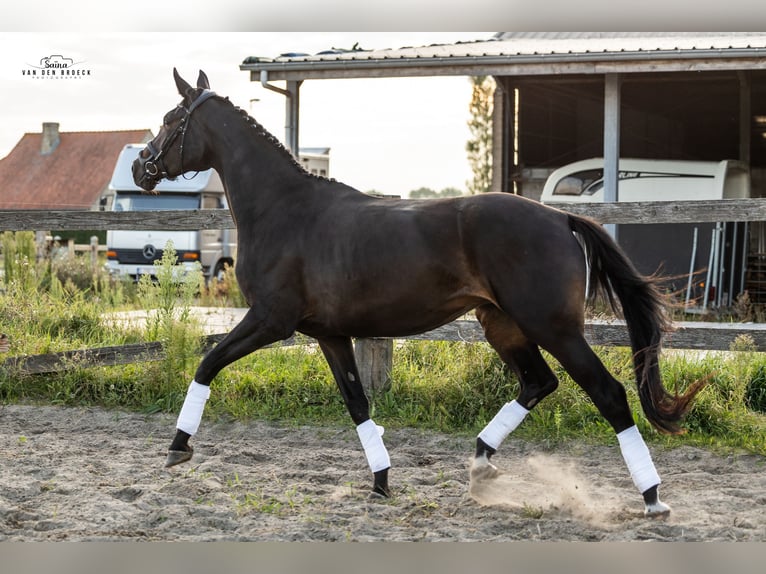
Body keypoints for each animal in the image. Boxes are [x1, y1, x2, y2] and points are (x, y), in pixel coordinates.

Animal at [134, 71, 708, 516]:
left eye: (168, 119)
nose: (142, 167)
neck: (285, 210)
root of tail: (561, 217)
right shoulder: (330, 335)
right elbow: (357, 403)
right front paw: (381, 482)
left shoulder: (270, 320)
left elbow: (207, 363)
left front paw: (177, 449)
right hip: (503, 325)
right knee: (538, 384)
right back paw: (480, 466)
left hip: (554, 327)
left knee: (608, 393)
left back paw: (653, 498)